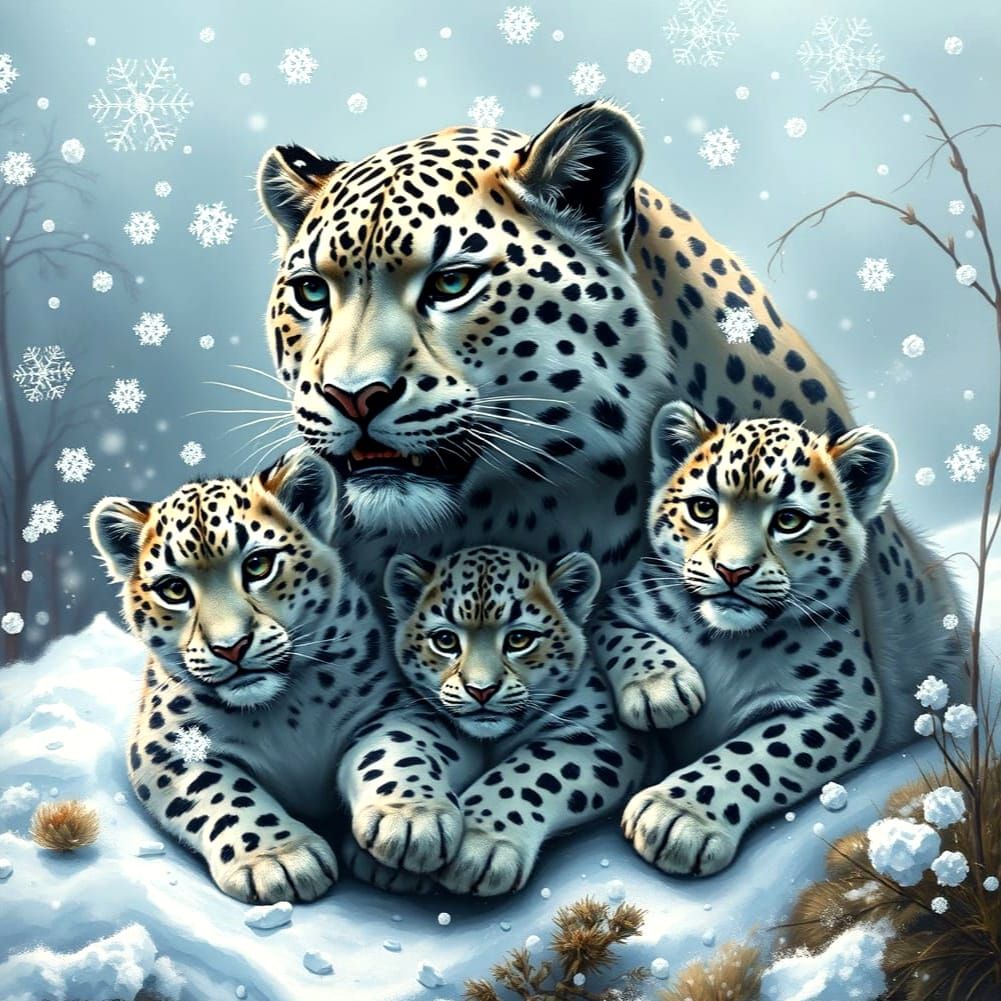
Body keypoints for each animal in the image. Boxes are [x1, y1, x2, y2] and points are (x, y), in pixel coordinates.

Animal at [90, 448, 478, 904]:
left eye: (258, 565)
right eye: (173, 589)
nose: (231, 647)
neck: (284, 711)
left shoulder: (407, 705)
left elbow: (398, 749)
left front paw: (411, 820)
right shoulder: (165, 748)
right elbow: (222, 794)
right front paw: (279, 859)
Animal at [384, 545, 647, 895]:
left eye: (520, 639)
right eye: (445, 640)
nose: (481, 690)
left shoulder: (598, 736)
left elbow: (526, 774)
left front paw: (479, 848)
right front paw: (410, 821)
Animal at [591, 402, 966, 877]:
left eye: (789, 520)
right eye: (702, 509)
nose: (732, 571)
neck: (720, 641)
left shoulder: (842, 705)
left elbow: (751, 756)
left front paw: (676, 817)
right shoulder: (613, 605)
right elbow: (622, 635)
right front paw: (660, 689)